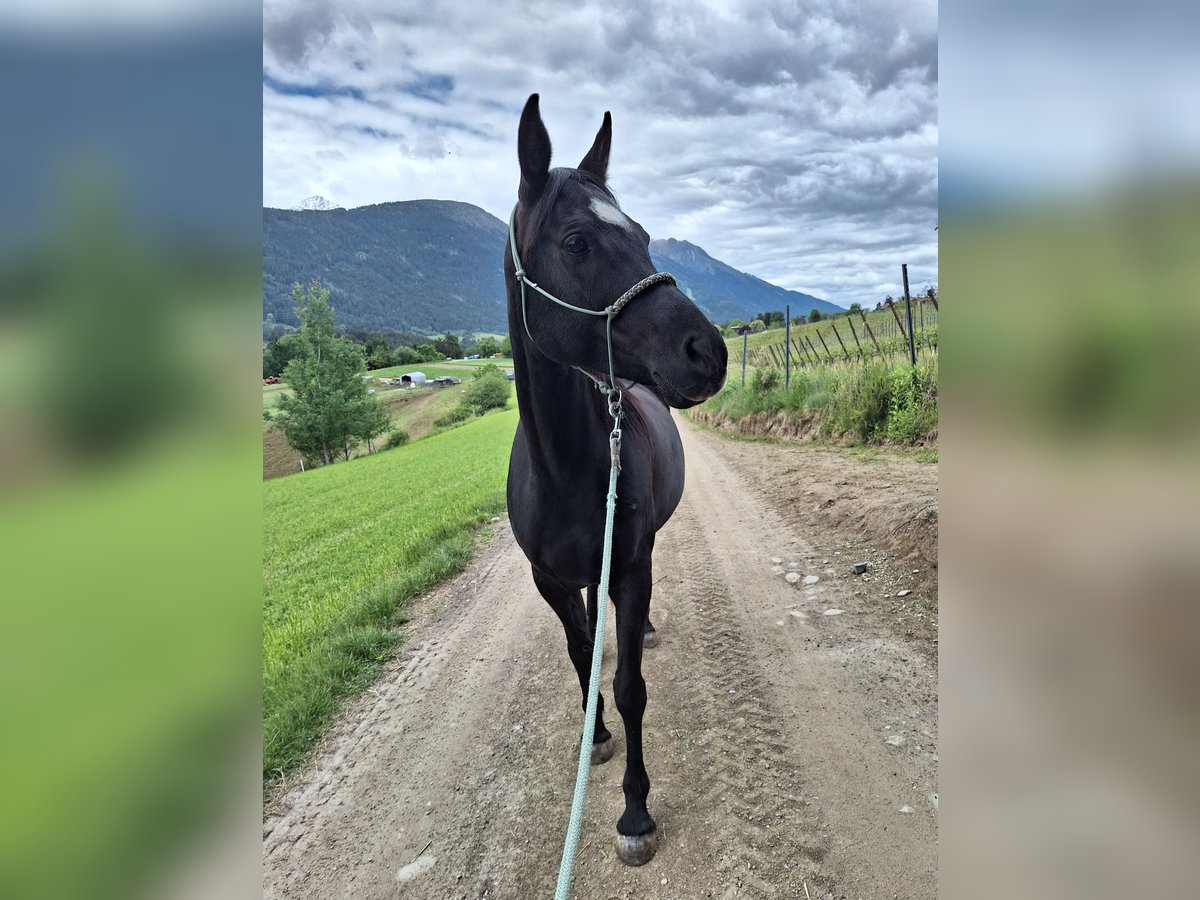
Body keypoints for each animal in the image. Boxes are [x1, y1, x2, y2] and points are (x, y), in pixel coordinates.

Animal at [504, 94, 728, 866]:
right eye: (576, 242)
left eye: (644, 234)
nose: (707, 351)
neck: (565, 470)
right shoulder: (549, 579)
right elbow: (581, 656)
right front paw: (593, 732)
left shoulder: (629, 564)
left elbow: (631, 684)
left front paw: (635, 810)